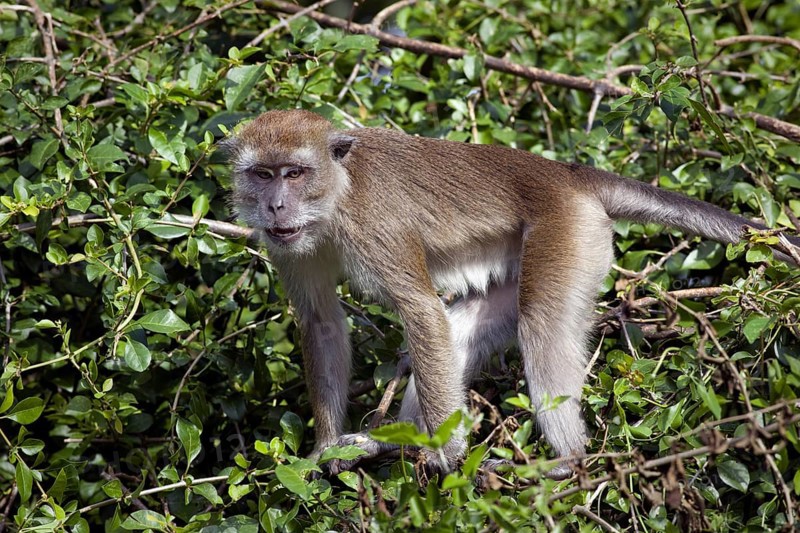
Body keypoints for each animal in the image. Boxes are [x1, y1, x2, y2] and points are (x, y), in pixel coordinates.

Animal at [224, 109, 800, 479]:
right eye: (263, 175)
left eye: (295, 173)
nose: (276, 205)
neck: (334, 199)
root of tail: (567, 173)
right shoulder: (287, 245)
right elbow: (322, 323)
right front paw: (323, 451)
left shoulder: (374, 228)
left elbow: (420, 311)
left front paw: (446, 454)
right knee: (464, 327)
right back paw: (386, 443)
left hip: (570, 233)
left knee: (540, 322)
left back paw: (566, 460)